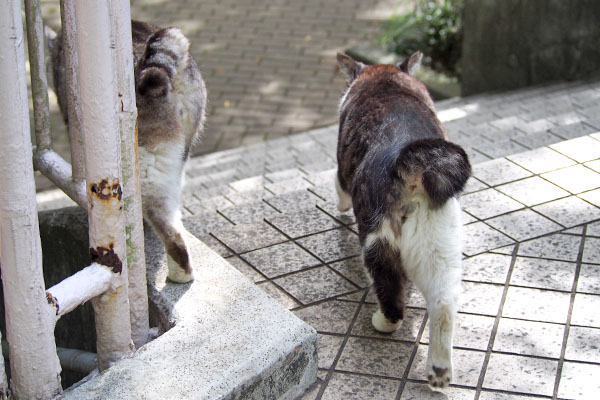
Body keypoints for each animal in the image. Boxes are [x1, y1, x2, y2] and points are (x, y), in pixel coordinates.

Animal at [336, 52, 472, 388]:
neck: (386, 80)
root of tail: (410, 165)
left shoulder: (341, 167)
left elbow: (338, 187)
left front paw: (339, 207)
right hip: (440, 246)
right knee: (444, 303)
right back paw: (439, 371)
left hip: (376, 241)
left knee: (392, 297)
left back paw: (382, 322)